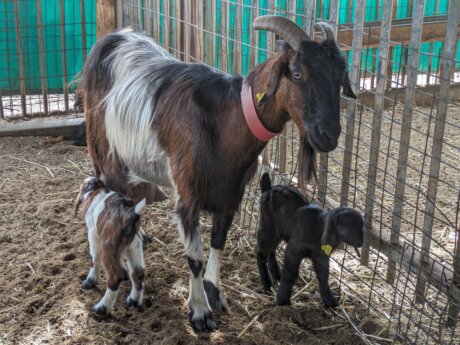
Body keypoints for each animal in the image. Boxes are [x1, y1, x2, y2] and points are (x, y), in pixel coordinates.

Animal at [80, 14, 356, 330]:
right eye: (297, 74)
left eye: (340, 76)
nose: (329, 135)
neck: (224, 122)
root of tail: (113, 38)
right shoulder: (188, 197)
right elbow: (195, 258)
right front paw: (200, 311)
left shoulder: (230, 196)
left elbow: (218, 244)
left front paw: (214, 293)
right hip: (103, 146)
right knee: (110, 195)